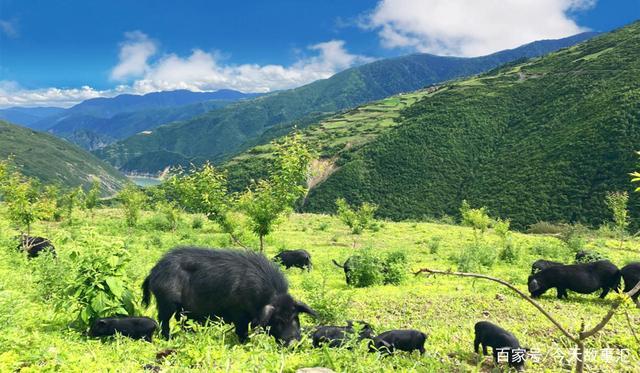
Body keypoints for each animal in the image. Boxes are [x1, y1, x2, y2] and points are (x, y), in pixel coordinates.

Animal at [142, 247, 318, 342]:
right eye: (278, 320)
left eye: (295, 317)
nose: (293, 343)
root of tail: (153, 271)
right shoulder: (237, 312)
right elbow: (241, 330)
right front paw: (245, 343)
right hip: (166, 301)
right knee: (164, 320)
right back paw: (168, 338)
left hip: (182, 308)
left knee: (182, 320)